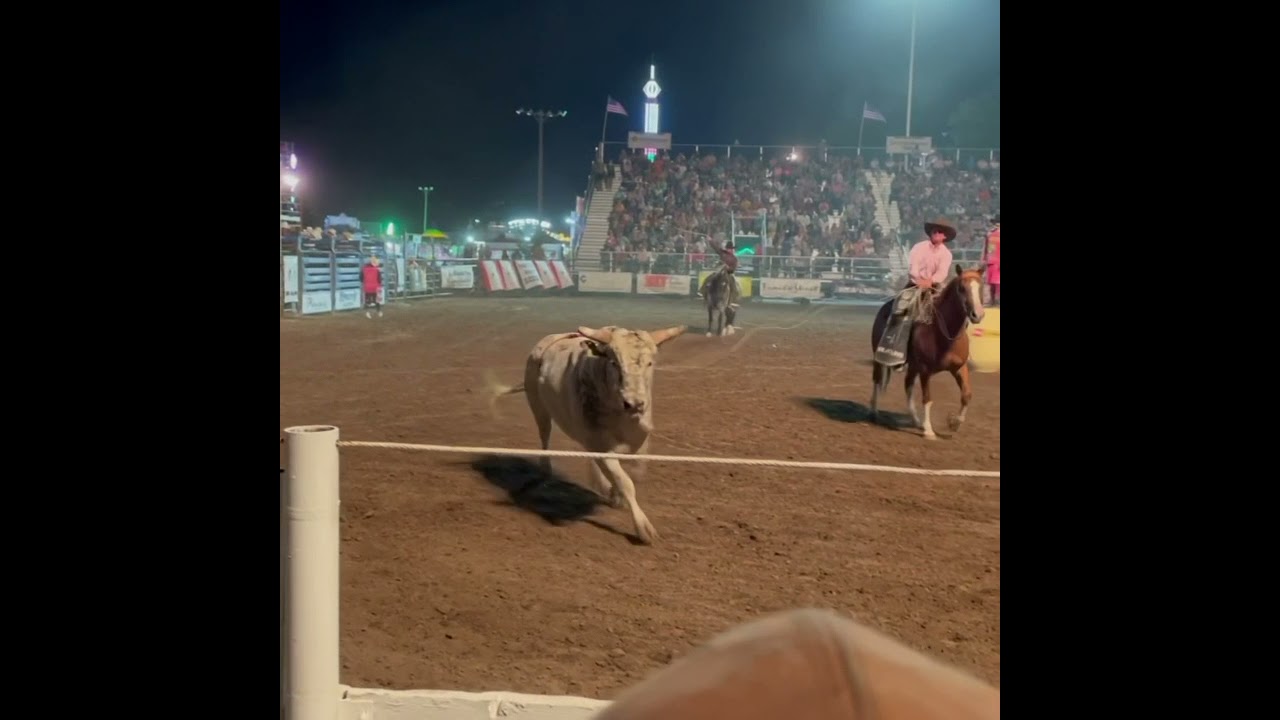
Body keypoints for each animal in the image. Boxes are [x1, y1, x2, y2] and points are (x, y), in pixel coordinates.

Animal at [488, 322, 691, 540]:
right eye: (614, 362)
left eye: (650, 363)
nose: (634, 403)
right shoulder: (601, 446)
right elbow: (625, 482)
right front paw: (643, 527)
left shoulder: (640, 439)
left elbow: (635, 473)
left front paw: (615, 495)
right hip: (539, 407)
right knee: (545, 436)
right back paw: (547, 470)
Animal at [875, 265, 983, 438]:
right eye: (961, 288)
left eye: (980, 287)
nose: (977, 314)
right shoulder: (925, 370)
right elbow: (927, 398)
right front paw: (929, 431)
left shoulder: (960, 367)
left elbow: (966, 395)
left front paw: (954, 423)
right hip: (879, 358)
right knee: (877, 381)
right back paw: (875, 412)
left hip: (913, 366)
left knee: (908, 385)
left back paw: (916, 421)